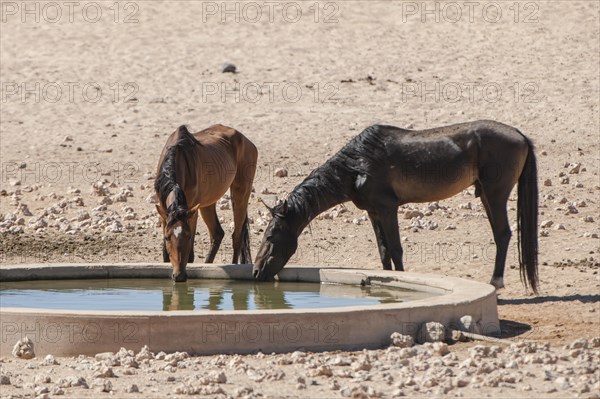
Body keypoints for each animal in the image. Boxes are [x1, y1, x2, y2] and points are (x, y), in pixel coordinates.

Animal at [155, 123, 258, 282]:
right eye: (167, 237)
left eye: (188, 236)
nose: (179, 276)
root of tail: (247, 141)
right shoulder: (164, 211)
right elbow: (165, 254)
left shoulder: (191, 211)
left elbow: (190, 255)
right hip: (208, 203)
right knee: (217, 233)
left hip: (241, 192)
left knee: (237, 236)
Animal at [253, 119, 540, 294]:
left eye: (270, 236)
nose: (256, 272)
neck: (357, 166)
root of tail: (520, 135)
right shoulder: (373, 212)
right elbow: (383, 251)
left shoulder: (388, 209)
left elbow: (396, 249)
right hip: (486, 196)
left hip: (495, 194)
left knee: (502, 234)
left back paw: (496, 281)